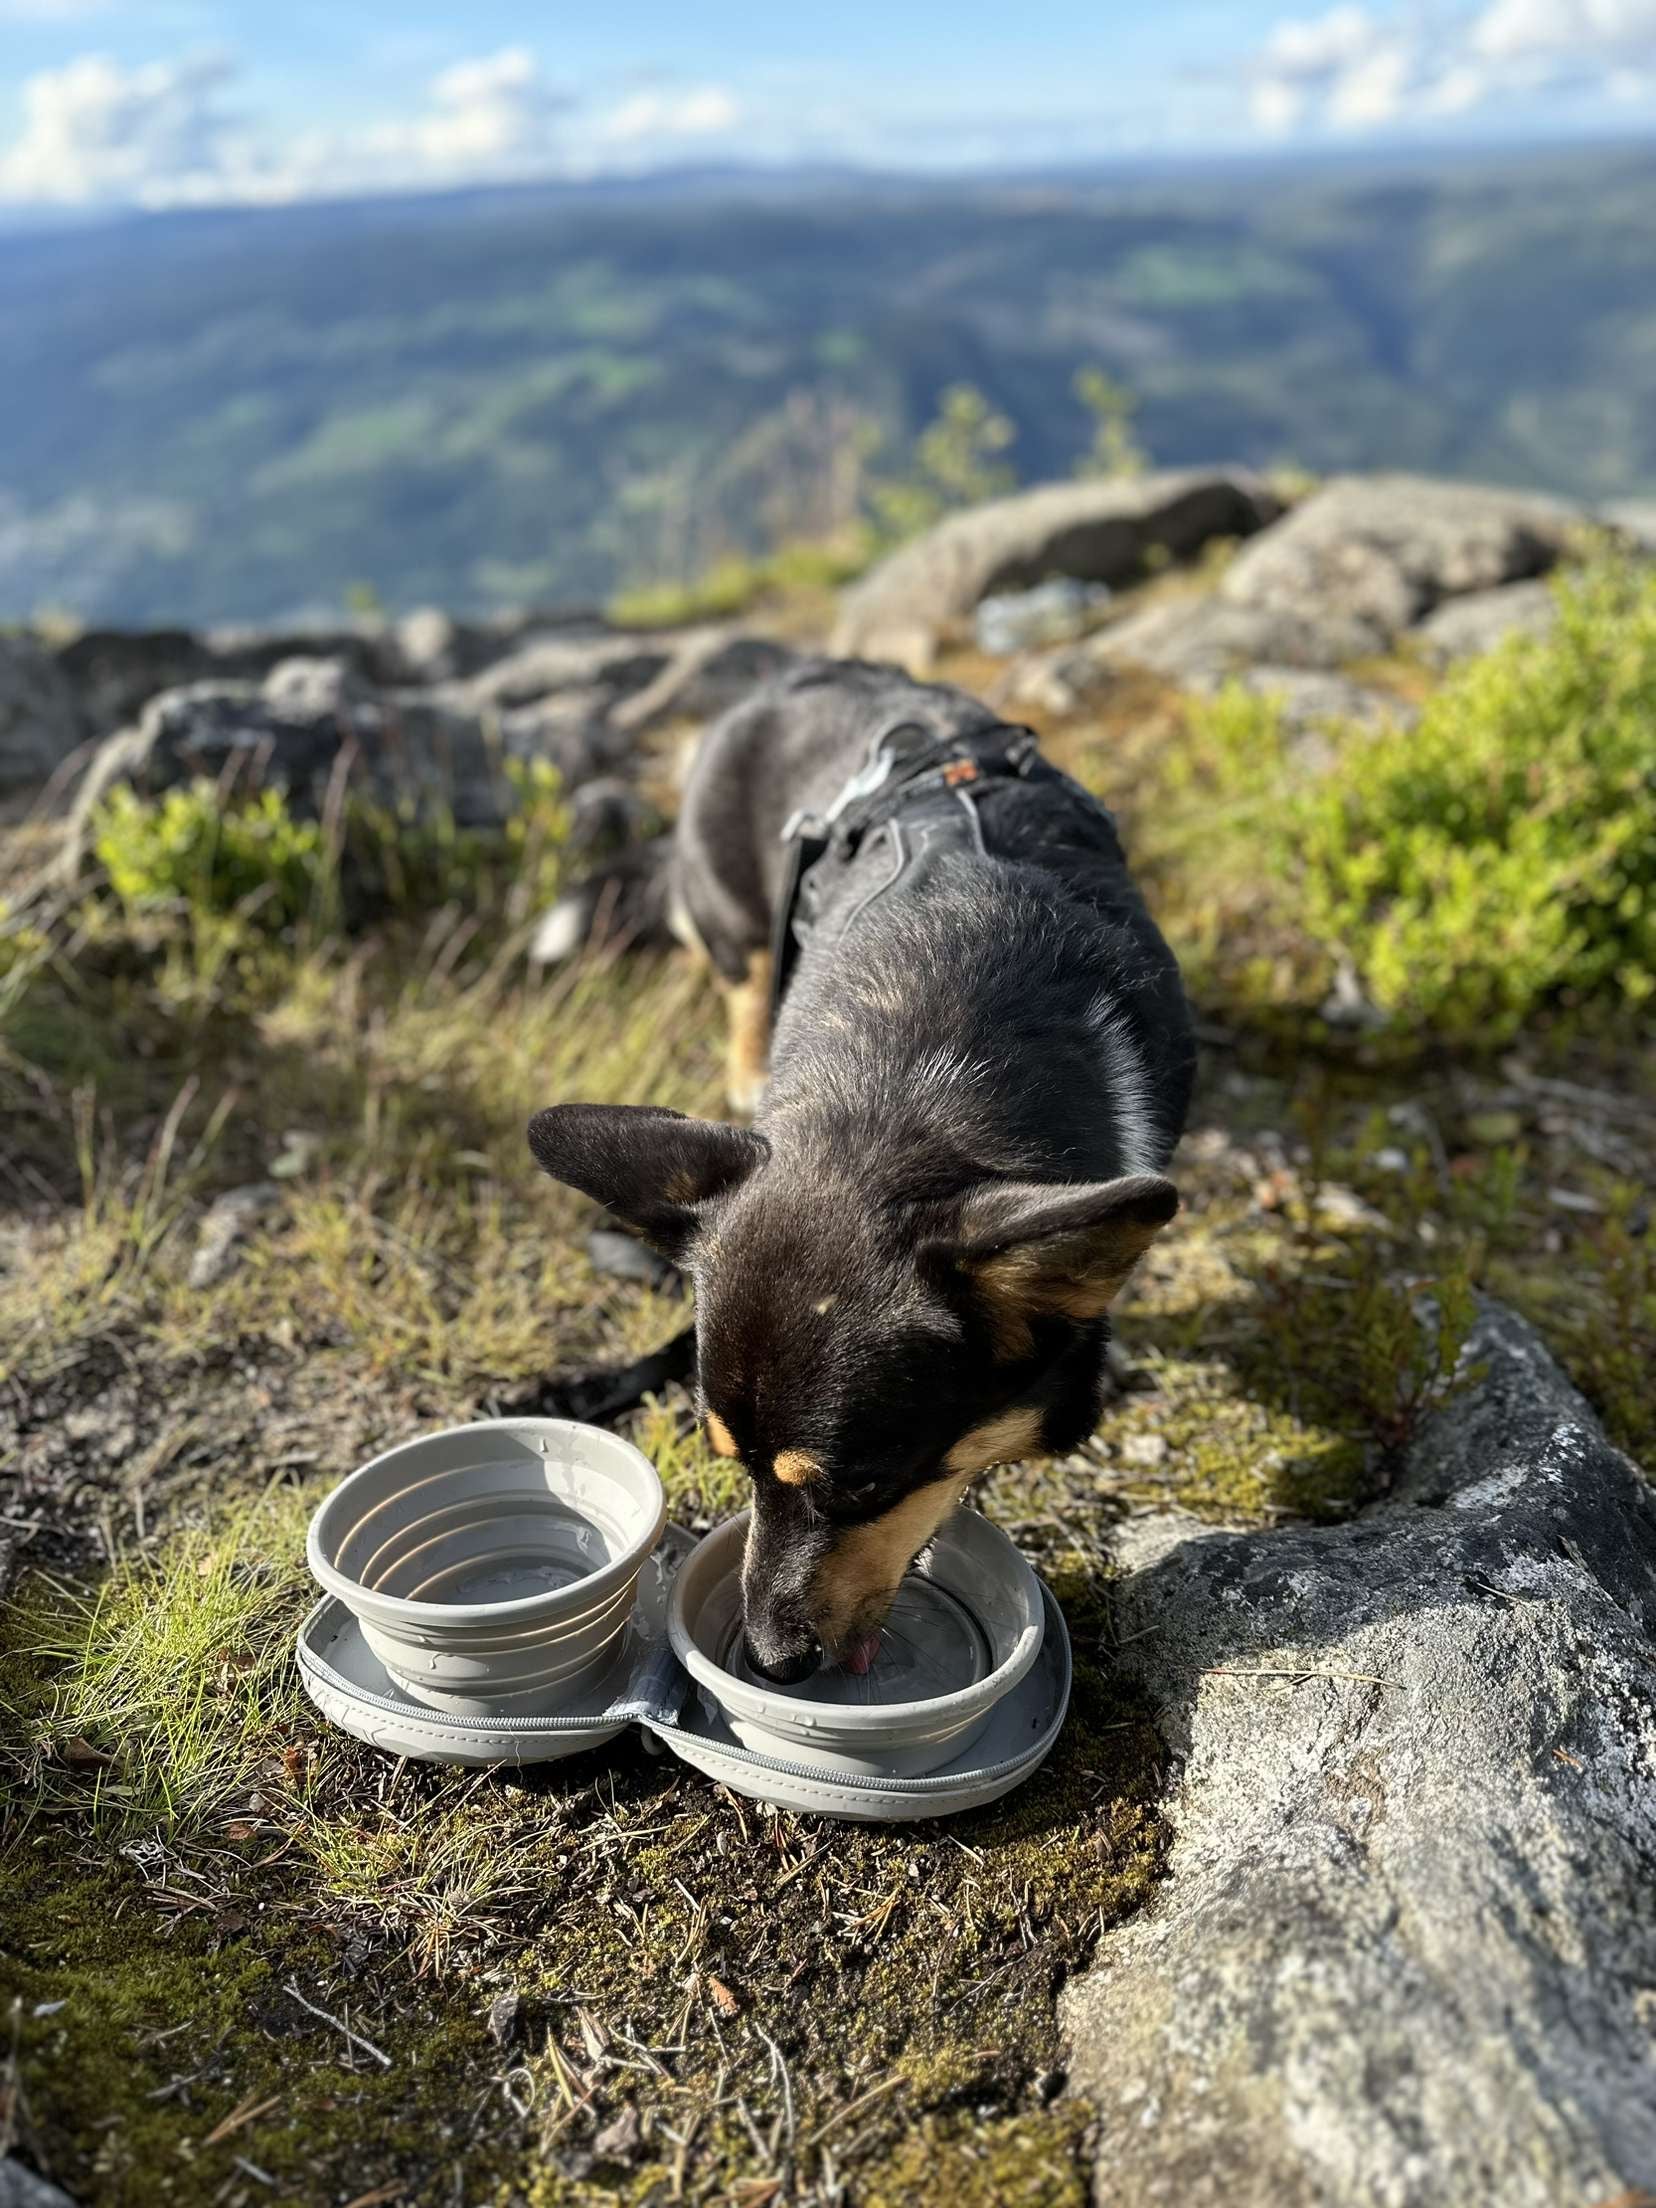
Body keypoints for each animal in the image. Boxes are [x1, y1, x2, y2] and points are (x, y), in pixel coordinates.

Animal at [532, 662, 1192, 1678]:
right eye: (731, 1466)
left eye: (869, 1486)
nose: (770, 1662)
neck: (914, 1079)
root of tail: (793, 672)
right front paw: (593, 1383)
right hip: (741, 919)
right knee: (740, 989)